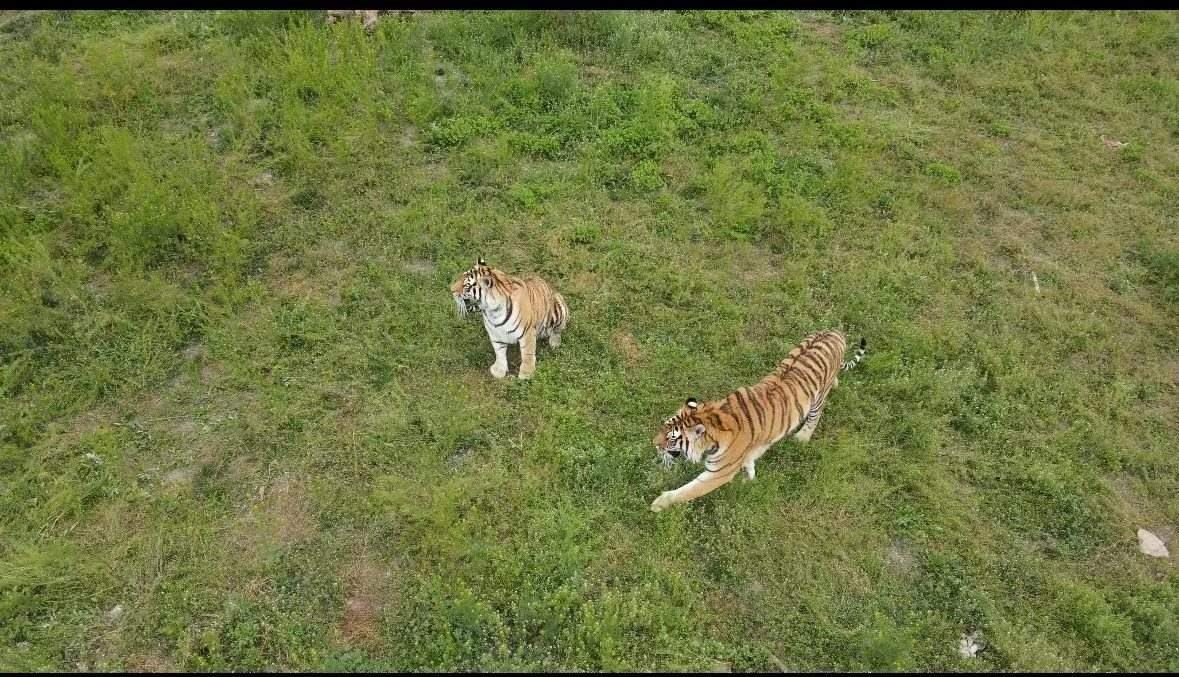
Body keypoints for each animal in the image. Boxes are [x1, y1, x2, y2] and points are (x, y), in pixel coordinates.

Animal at [649, 330, 867, 512]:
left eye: (671, 439)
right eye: (663, 428)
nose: (653, 444)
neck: (712, 416)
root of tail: (835, 332)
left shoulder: (718, 473)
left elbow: (687, 491)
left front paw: (658, 504)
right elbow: (751, 460)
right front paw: (750, 477)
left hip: (817, 399)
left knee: (816, 415)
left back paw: (802, 438)